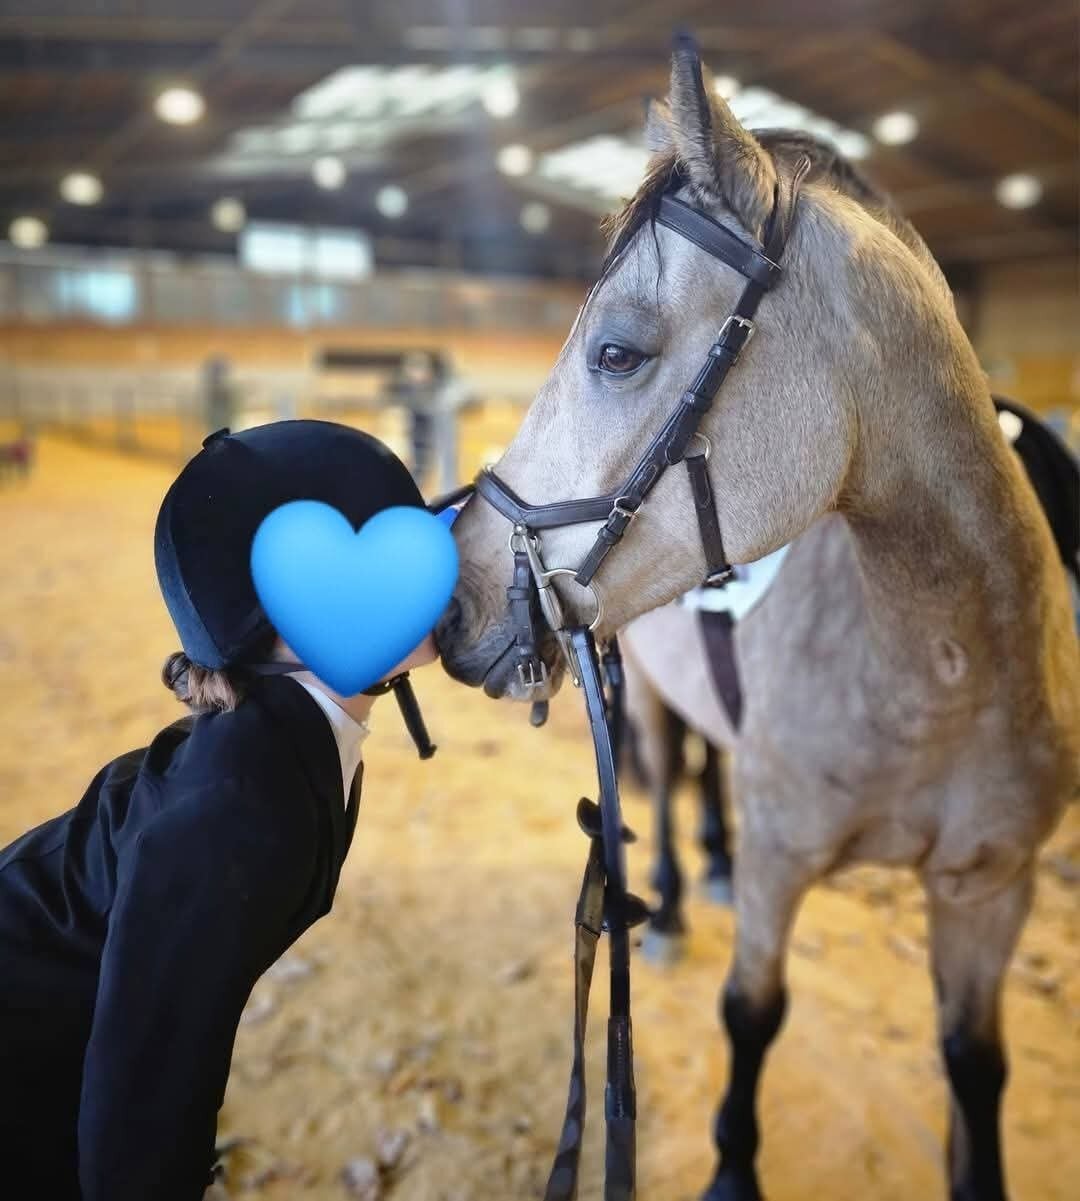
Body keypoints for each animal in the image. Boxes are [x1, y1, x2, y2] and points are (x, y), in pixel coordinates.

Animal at [437, 37, 1080, 1201]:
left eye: (616, 352)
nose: (459, 601)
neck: (943, 665)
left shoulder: (990, 886)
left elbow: (975, 1063)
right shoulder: (791, 856)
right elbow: (753, 1011)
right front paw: (734, 1168)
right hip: (644, 697)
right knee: (668, 783)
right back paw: (677, 900)